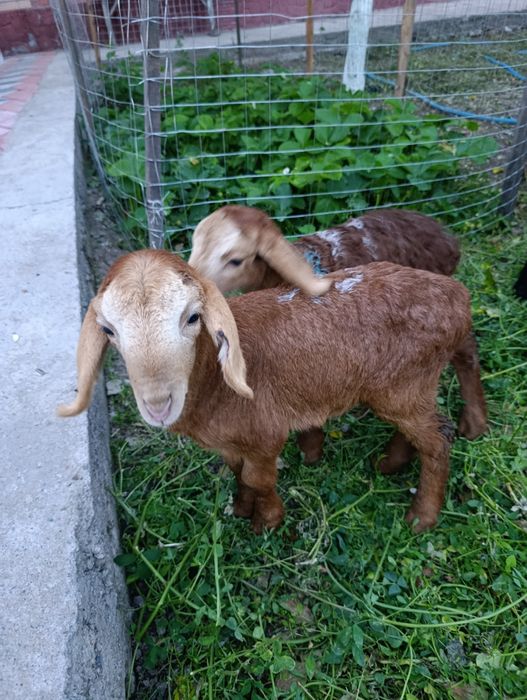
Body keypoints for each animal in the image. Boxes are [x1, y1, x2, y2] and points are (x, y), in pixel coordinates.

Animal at [58, 250, 488, 534]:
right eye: (108, 330)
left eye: (193, 317)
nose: (158, 405)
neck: (215, 383)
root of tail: (456, 294)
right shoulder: (232, 442)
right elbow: (238, 474)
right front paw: (240, 508)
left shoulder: (265, 434)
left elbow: (259, 479)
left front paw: (266, 522)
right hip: (406, 389)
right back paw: (393, 462)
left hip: (405, 385)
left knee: (438, 439)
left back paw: (422, 516)